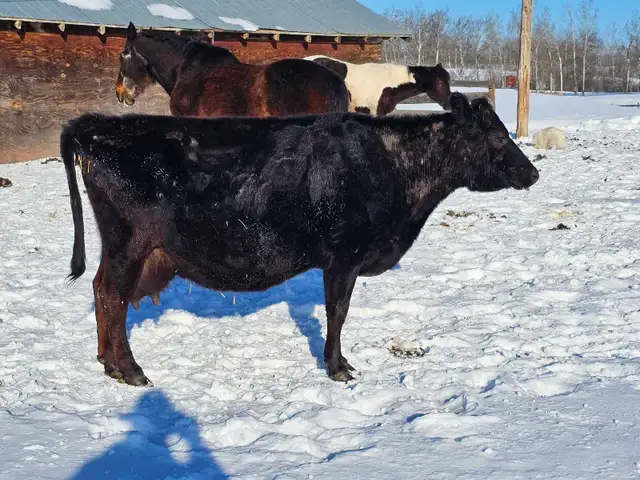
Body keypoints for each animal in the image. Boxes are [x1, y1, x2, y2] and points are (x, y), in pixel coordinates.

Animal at [61, 92, 539, 387]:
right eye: (499, 136)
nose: (532, 172)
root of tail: (97, 125)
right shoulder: (345, 255)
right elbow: (337, 312)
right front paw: (337, 367)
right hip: (130, 242)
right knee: (112, 296)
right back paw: (129, 369)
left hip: (127, 248)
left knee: (102, 290)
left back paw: (107, 362)